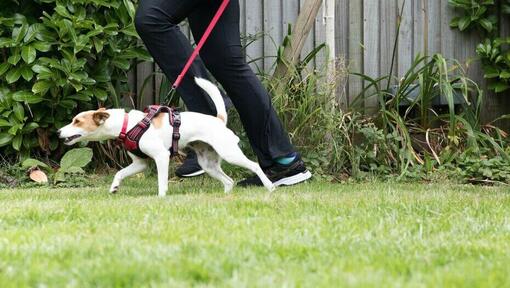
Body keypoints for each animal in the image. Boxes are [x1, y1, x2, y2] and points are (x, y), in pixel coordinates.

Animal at [58, 77, 274, 197]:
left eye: (77, 121)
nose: (59, 132)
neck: (127, 124)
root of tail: (218, 120)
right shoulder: (140, 164)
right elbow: (119, 173)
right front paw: (114, 188)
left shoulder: (161, 157)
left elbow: (162, 181)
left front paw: (161, 197)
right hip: (208, 164)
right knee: (228, 181)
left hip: (230, 153)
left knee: (255, 166)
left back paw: (270, 186)